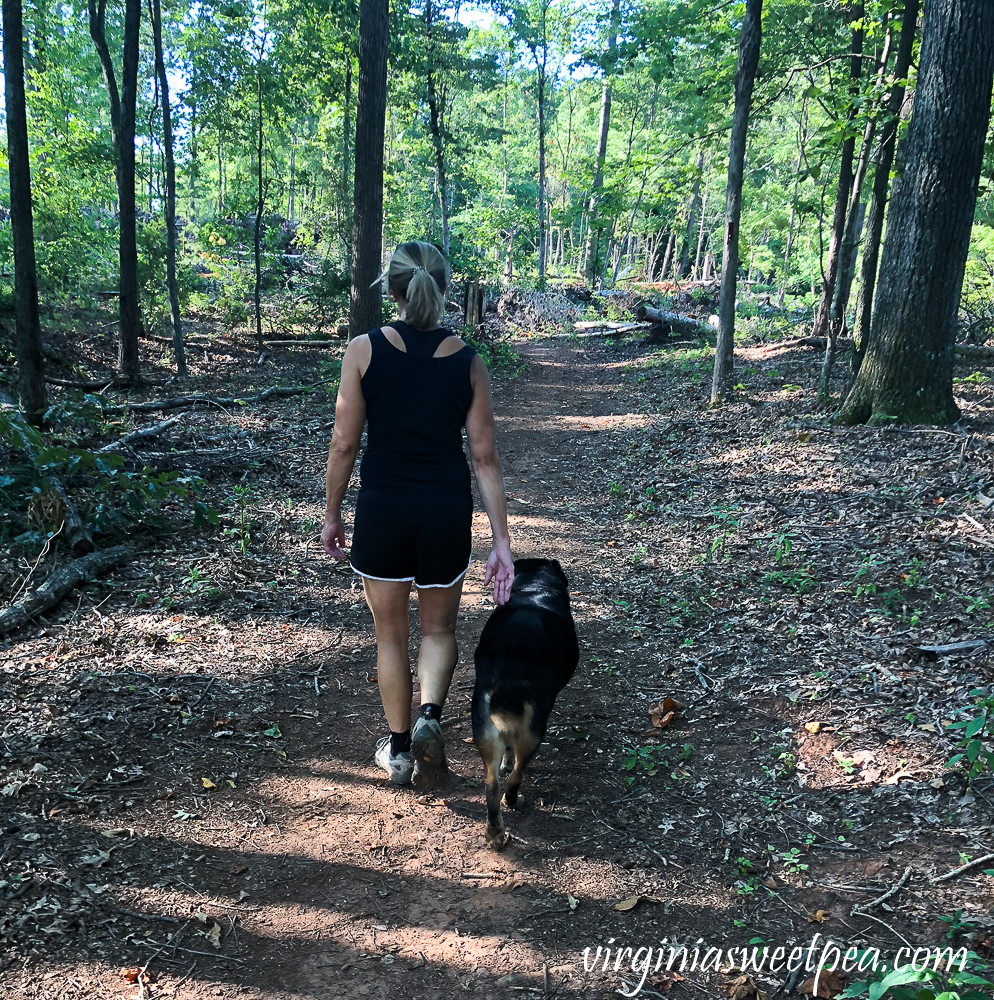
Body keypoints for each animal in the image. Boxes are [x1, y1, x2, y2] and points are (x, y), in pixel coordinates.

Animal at [470, 560, 576, 848]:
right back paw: (515, 801)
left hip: (483, 727)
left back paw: (495, 831)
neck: (534, 588)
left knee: (492, 785)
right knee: (514, 778)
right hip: (533, 731)